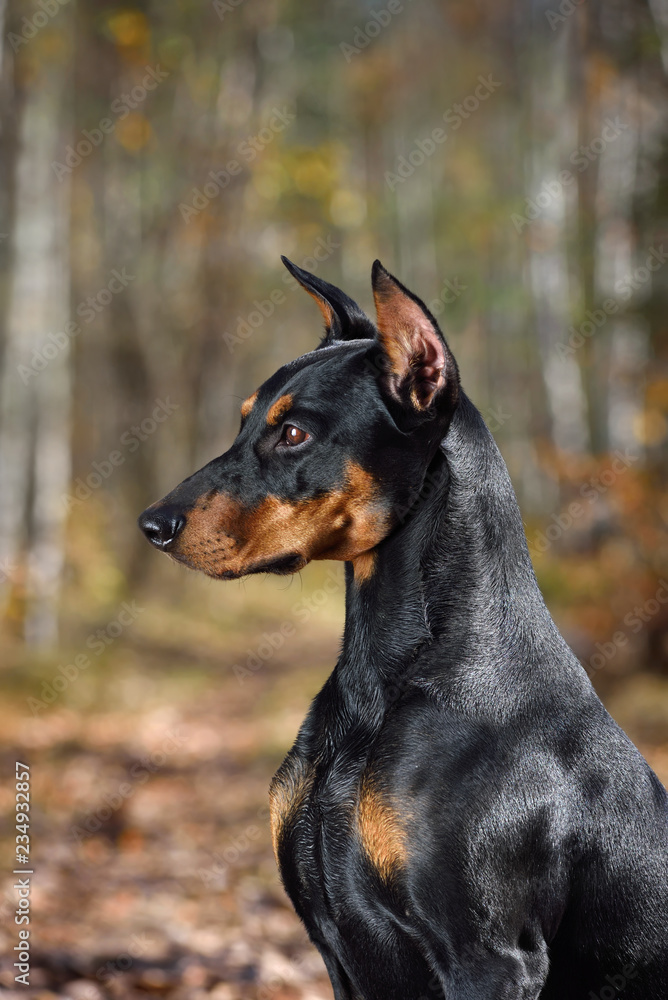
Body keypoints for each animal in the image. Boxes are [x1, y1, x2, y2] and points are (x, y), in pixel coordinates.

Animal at [140, 260, 668, 1000]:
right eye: (244, 423)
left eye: (294, 433)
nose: (152, 524)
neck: (388, 674)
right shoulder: (335, 945)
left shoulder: (491, 958)